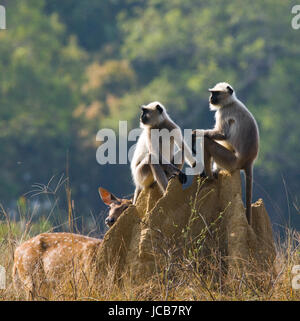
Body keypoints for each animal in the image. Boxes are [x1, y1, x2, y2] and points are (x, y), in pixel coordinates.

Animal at [192, 82, 260, 224]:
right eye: (212, 93)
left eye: (216, 93)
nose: (211, 98)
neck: (230, 102)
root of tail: (249, 161)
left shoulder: (222, 112)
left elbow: (222, 134)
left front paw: (195, 134)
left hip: (231, 162)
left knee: (207, 141)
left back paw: (209, 177)